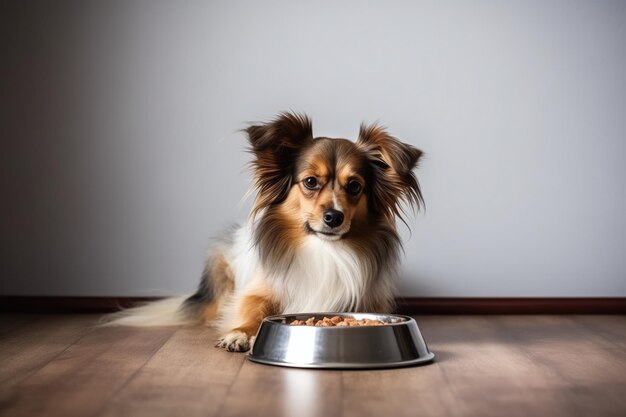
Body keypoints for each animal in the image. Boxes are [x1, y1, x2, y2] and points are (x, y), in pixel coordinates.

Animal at [105, 111, 422, 352]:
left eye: (355, 186)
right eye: (310, 182)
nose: (334, 217)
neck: (323, 249)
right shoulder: (258, 291)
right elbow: (253, 309)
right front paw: (240, 333)